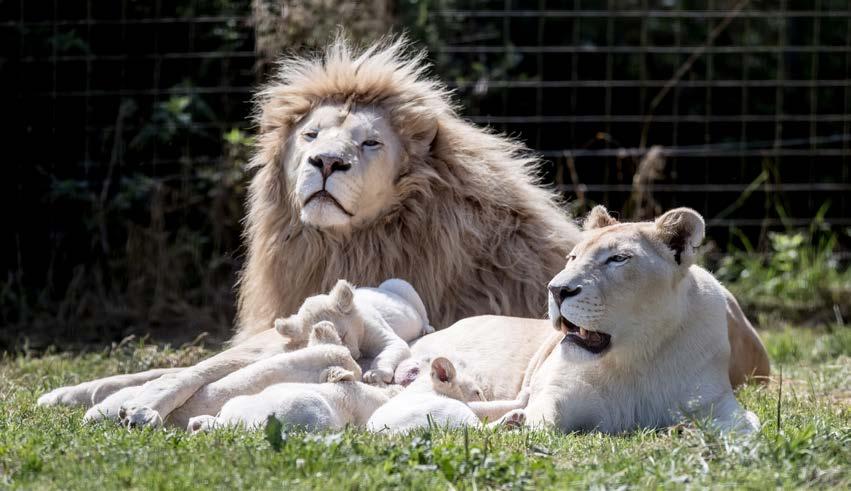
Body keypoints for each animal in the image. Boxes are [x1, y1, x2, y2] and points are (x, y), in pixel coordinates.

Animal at [524, 207, 764, 434]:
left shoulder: (716, 401)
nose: (556, 290)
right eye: (573, 258)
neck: (638, 355)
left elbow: (749, 426)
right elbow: (544, 422)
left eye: (618, 258)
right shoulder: (560, 392)